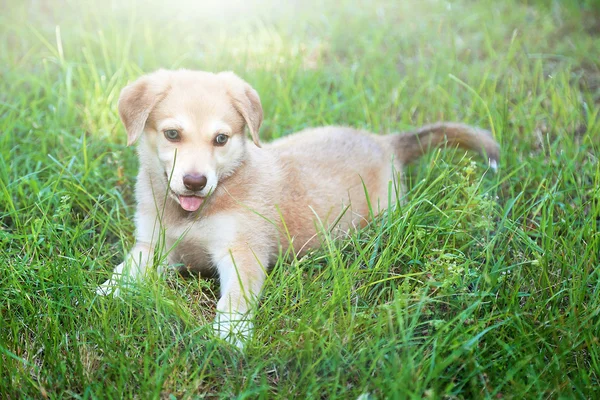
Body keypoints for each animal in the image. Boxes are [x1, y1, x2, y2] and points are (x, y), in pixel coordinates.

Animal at [97, 69, 502, 346]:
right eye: (172, 134)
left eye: (221, 139)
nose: (195, 181)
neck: (193, 213)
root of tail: (384, 141)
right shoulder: (154, 245)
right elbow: (126, 271)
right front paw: (102, 294)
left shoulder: (243, 252)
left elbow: (235, 300)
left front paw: (230, 336)